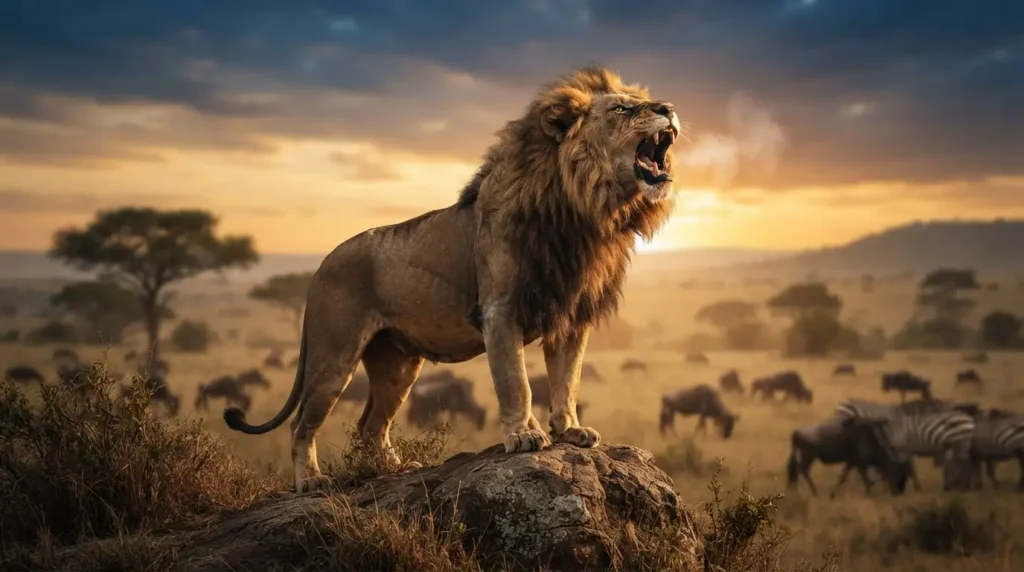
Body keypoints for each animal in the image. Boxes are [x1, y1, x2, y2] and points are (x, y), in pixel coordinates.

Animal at [224, 65, 682, 493]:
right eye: (621, 109)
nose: (669, 108)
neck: (586, 210)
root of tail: (320, 265)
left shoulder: (570, 316)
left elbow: (567, 381)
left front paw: (570, 430)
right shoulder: (500, 311)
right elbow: (516, 383)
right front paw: (524, 436)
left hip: (397, 364)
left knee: (371, 425)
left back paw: (393, 469)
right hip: (333, 355)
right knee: (302, 423)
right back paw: (310, 481)